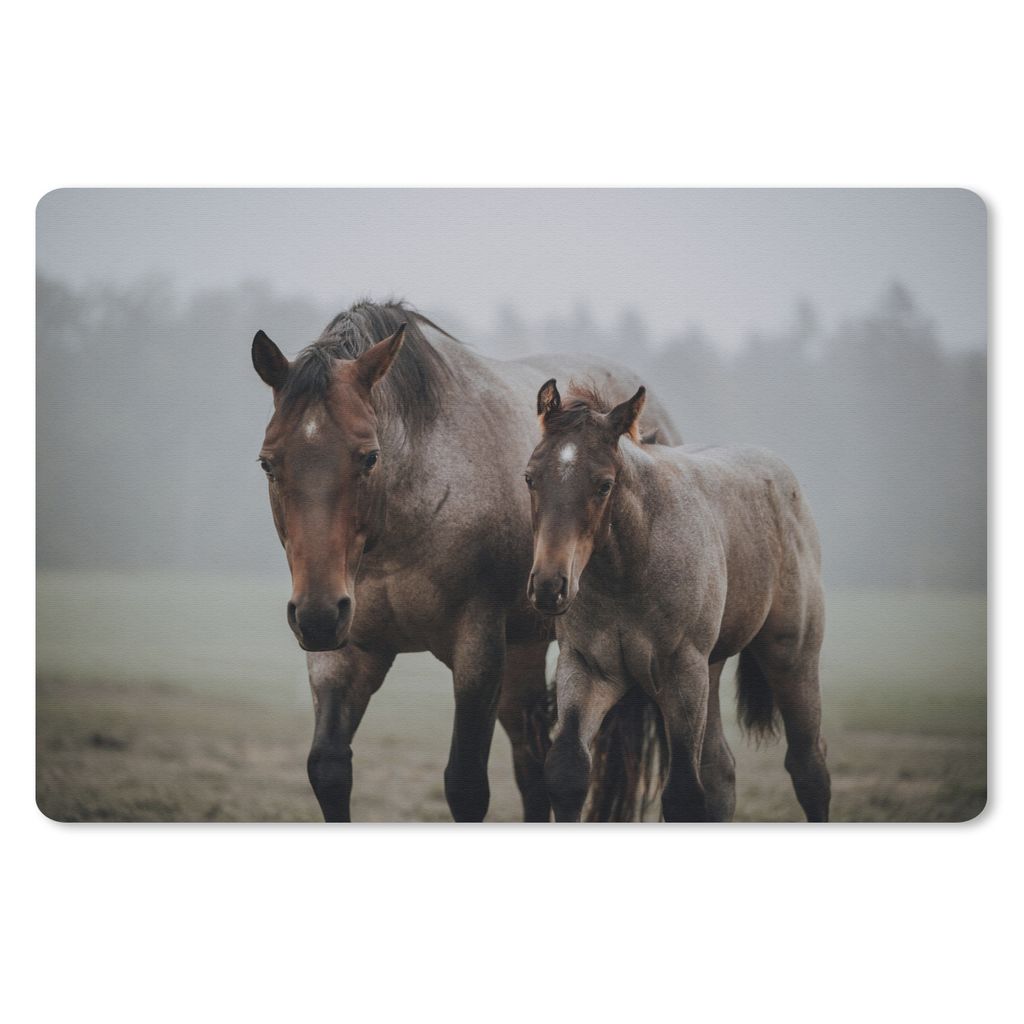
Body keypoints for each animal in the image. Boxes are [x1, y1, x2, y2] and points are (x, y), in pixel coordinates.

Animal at [250, 300, 681, 821]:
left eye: (370, 457)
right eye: (268, 462)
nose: (315, 615)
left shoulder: (478, 652)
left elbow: (466, 785)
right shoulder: (341, 655)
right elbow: (329, 769)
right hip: (523, 654)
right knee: (532, 769)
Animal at [525, 378, 831, 822]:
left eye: (604, 484)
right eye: (530, 478)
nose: (550, 586)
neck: (627, 573)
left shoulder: (681, 673)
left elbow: (684, 791)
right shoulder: (586, 669)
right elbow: (567, 772)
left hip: (790, 658)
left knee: (809, 767)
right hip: (712, 667)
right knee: (721, 772)